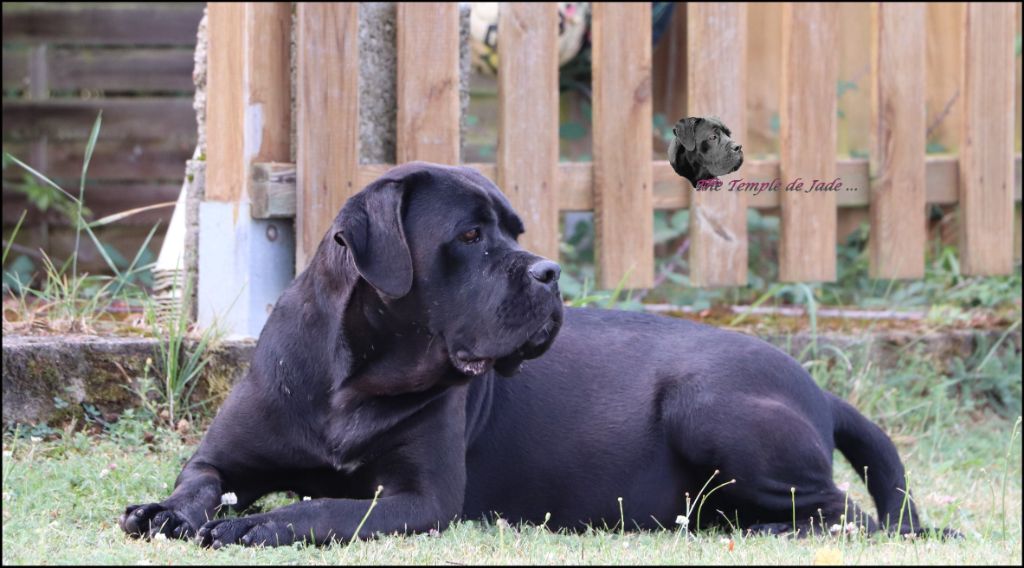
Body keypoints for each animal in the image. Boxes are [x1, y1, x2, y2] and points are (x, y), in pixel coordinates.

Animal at [119, 159, 950, 548]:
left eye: (515, 231)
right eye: (470, 235)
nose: (549, 272)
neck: (353, 381)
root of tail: (818, 386)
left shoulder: (422, 499)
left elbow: (328, 507)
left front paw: (258, 526)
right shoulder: (226, 454)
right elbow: (200, 481)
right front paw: (165, 510)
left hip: (708, 403)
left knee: (845, 514)